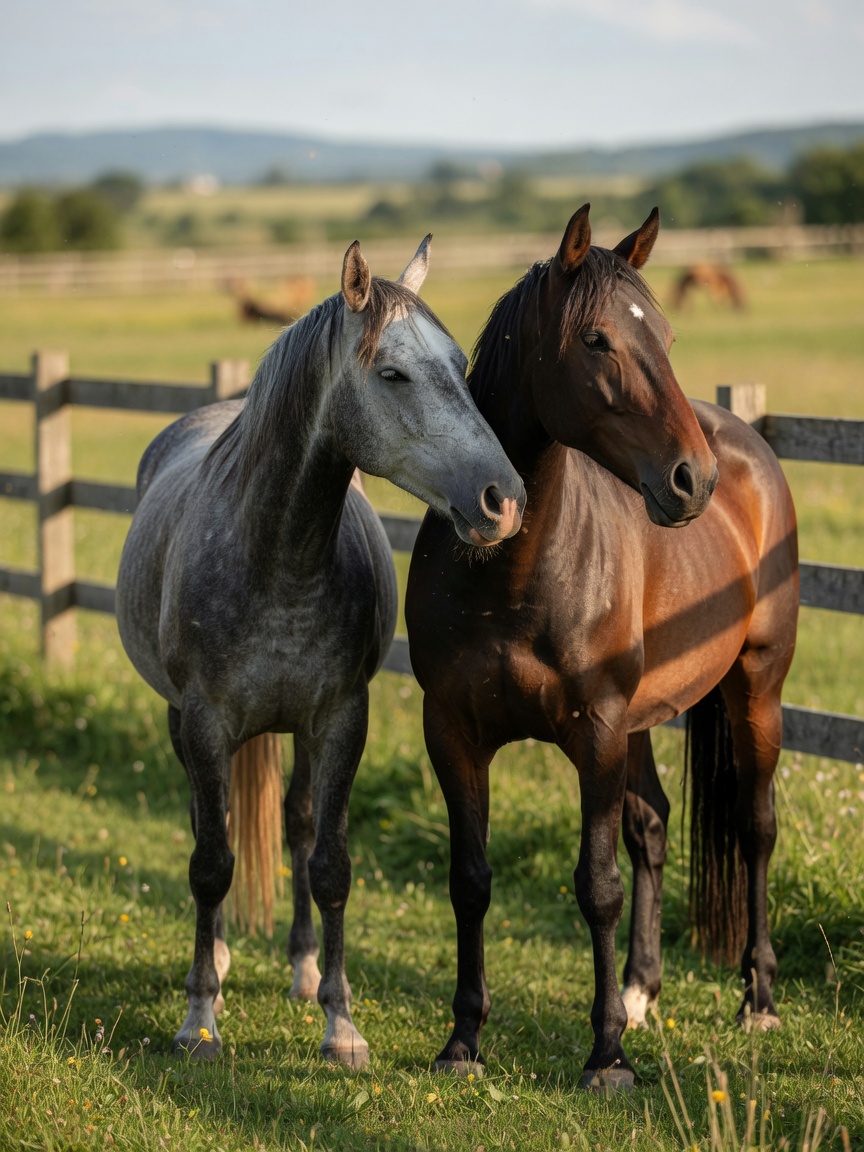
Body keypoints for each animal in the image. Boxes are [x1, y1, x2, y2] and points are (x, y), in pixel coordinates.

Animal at [116, 236, 527, 1067]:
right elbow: (212, 863)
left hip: (298, 731)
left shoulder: (341, 719)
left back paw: (302, 969)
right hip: (183, 722)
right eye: (393, 373)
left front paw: (340, 1023)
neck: (278, 554)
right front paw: (199, 1017)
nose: (502, 499)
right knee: (211, 826)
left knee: (299, 823)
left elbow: (330, 864)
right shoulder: (205, 722)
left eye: (458, 362)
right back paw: (215, 964)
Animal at [405, 206, 798, 1090]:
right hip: (648, 717)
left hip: (754, 688)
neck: (511, 575)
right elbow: (469, 880)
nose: (692, 481)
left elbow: (598, 885)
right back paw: (642, 990)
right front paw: (463, 1039)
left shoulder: (598, 730)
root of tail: (745, 442)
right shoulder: (453, 732)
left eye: (669, 336)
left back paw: (756, 998)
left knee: (755, 828)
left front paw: (608, 1055)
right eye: (596, 340)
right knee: (652, 825)